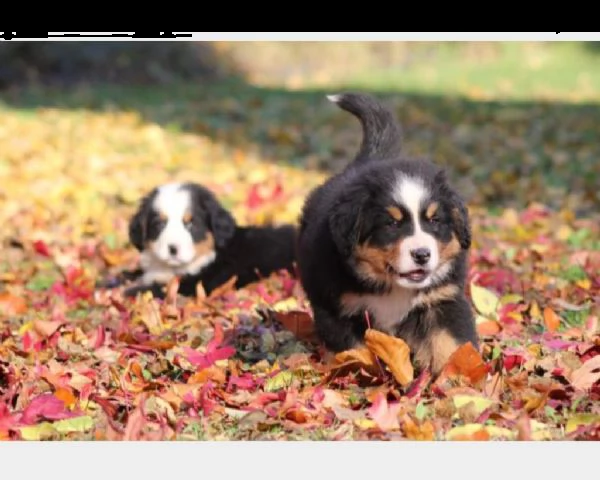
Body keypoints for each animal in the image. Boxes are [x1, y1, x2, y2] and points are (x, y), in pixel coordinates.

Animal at [124, 182, 298, 298]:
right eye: (159, 224)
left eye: (191, 223)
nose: (173, 249)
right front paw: (125, 276)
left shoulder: (200, 284)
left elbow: (158, 289)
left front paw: (129, 291)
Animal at [298, 91, 478, 376]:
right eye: (392, 224)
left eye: (434, 220)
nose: (422, 255)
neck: (393, 287)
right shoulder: (337, 309)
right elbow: (356, 351)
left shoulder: (442, 299)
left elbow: (451, 343)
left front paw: (460, 379)